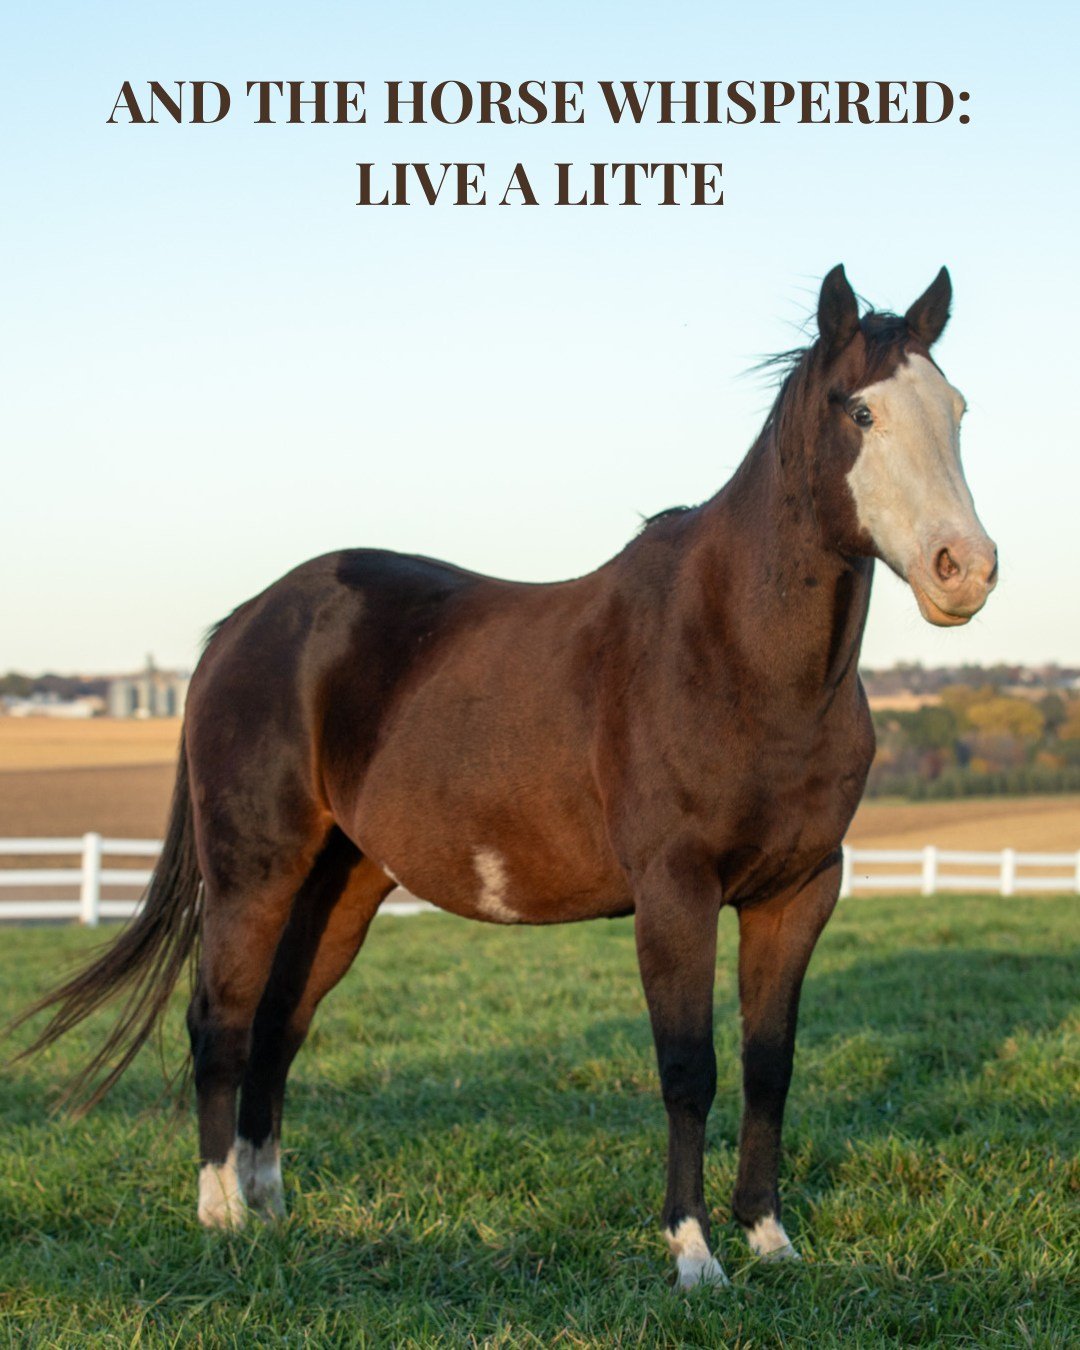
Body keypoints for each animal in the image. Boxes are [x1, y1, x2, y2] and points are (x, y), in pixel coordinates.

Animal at [17, 265, 997, 1288]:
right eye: (861, 412)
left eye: (958, 409)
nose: (964, 570)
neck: (739, 657)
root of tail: (241, 626)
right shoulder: (676, 892)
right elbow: (689, 1069)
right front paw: (693, 1253)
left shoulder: (800, 892)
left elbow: (770, 1065)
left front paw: (770, 1239)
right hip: (254, 873)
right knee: (222, 1021)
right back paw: (223, 1217)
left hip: (342, 885)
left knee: (280, 1026)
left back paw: (274, 1209)